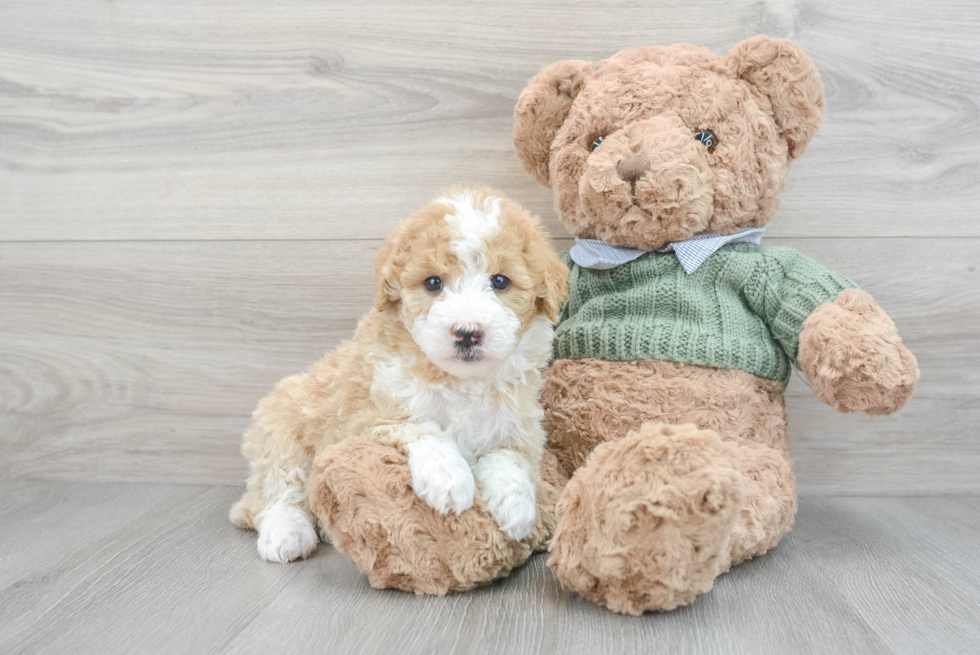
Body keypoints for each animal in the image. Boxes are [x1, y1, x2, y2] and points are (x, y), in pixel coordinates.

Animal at [230, 187, 568, 560]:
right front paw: (448, 478)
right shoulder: (364, 416)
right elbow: (418, 427)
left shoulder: (520, 425)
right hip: (281, 427)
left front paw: (516, 507)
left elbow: (511, 457)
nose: (467, 333)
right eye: (433, 283)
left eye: (500, 281)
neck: (461, 382)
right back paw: (287, 534)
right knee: (275, 492)